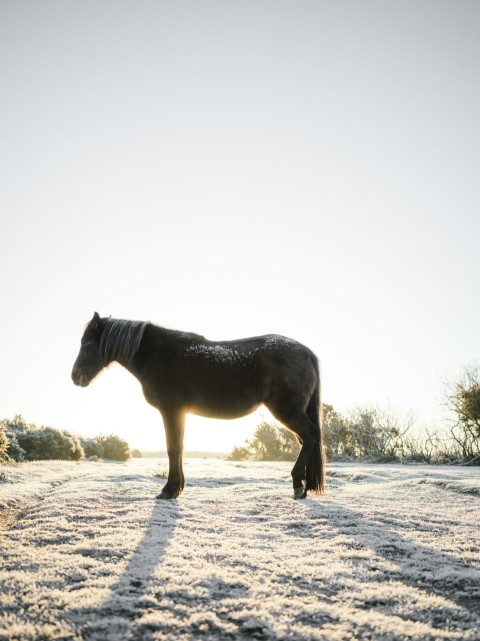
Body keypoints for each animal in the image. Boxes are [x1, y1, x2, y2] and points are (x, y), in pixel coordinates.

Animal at [72, 313, 326, 500]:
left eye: (85, 343)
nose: (75, 376)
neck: (157, 353)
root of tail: (307, 352)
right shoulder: (180, 413)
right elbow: (180, 448)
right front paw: (178, 487)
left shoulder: (170, 411)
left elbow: (172, 448)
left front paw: (169, 490)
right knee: (306, 440)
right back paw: (304, 485)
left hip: (288, 411)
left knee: (311, 435)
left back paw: (297, 484)